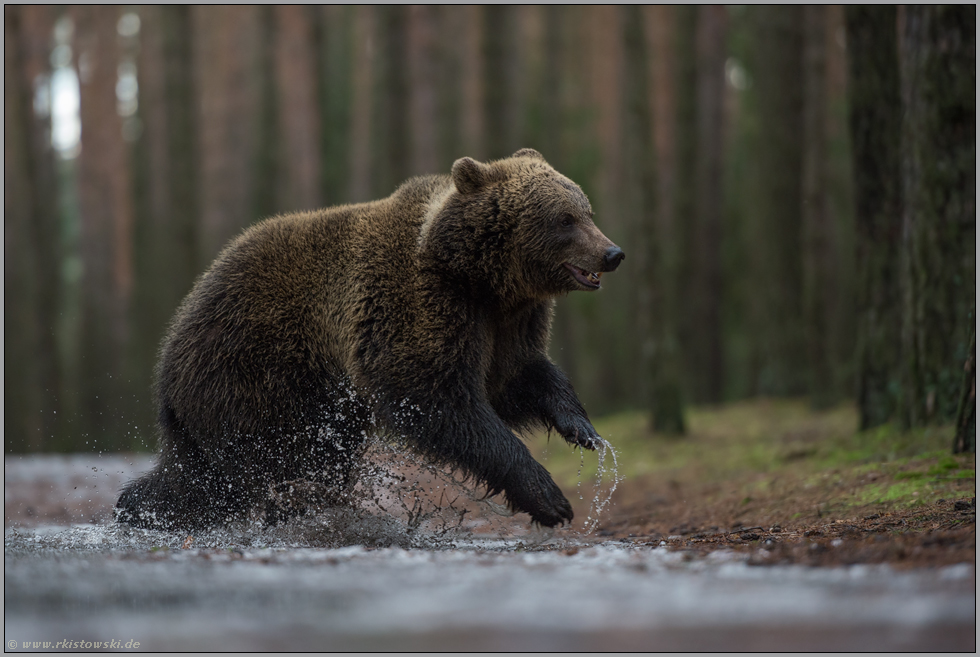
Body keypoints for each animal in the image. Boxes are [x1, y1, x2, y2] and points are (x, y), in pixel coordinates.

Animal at [115, 147, 620, 528]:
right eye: (565, 218)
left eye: (587, 210)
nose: (613, 252)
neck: (480, 276)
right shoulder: (420, 303)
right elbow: (438, 397)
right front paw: (550, 498)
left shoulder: (506, 322)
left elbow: (513, 379)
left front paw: (583, 429)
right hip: (257, 371)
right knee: (256, 465)